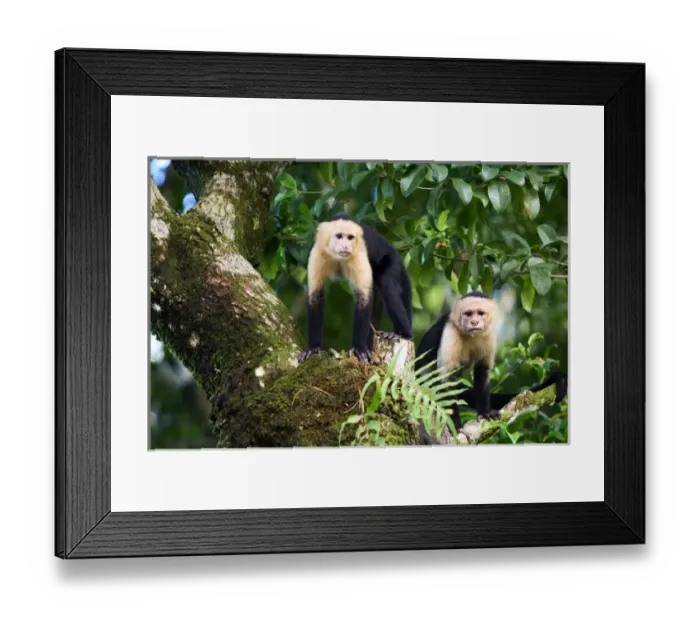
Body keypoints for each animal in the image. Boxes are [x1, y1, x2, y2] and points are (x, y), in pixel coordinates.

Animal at [299, 213, 413, 364]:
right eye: (339, 236)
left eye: (350, 237)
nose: (346, 245)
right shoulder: (319, 251)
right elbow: (315, 296)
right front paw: (313, 347)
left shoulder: (358, 253)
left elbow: (363, 296)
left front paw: (359, 348)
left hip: (392, 261)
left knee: (386, 284)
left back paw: (404, 334)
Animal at [416, 291, 567, 434]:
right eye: (468, 314)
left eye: (480, 313)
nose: (474, 322)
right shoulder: (450, 332)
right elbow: (447, 380)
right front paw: (456, 426)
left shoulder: (489, 336)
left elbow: (482, 371)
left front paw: (484, 413)